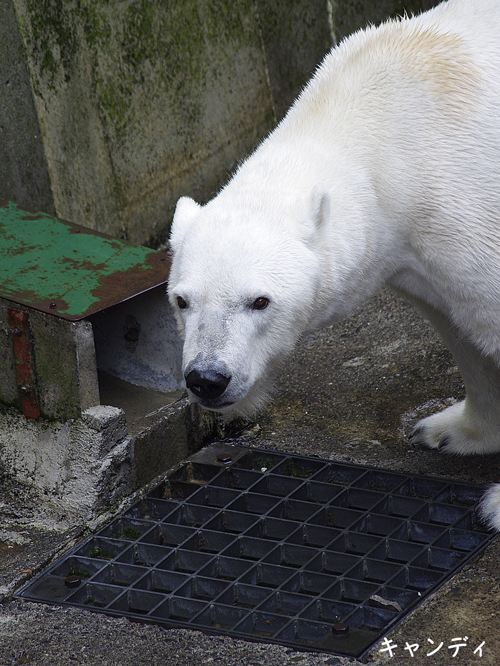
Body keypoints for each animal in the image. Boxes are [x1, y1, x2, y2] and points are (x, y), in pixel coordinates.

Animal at [167, 0, 500, 528]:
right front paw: (451, 430)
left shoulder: (464, 206)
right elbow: (457, 323)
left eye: (260, 301)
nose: (207, 378)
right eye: (182, 300)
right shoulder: (412, 245)